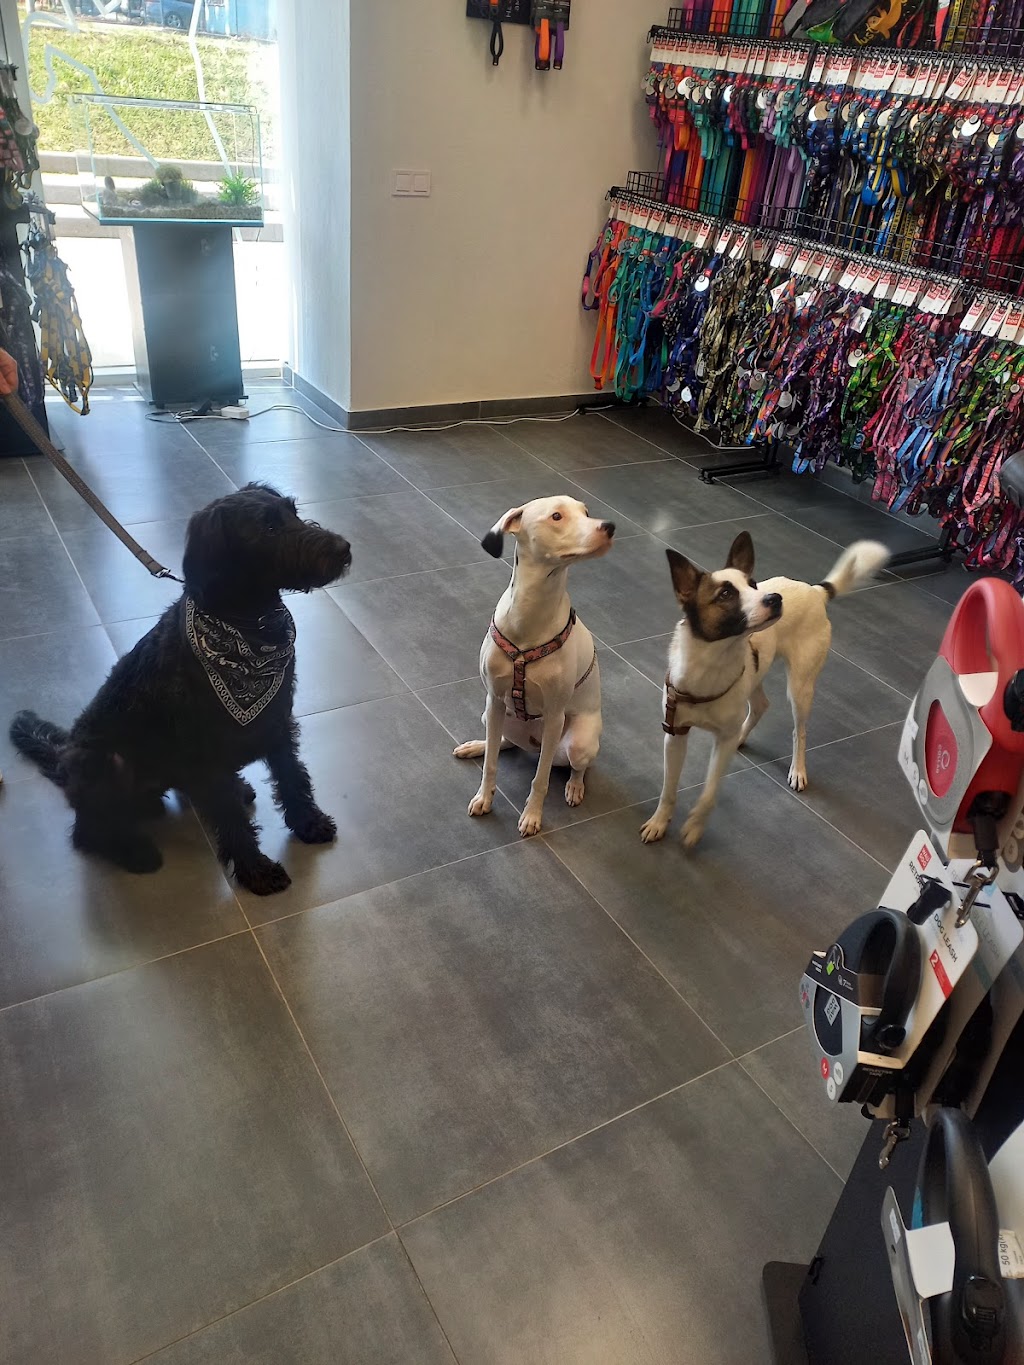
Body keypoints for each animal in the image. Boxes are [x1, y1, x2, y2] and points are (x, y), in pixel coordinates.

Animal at [10, 483, 352, 895]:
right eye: (269, 529)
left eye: (293, 513)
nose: (344, 548)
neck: (247, 627)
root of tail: (62, 758)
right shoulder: (205, 749)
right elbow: (233, 820)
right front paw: (256, 869)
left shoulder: (278, 721)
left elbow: (292, 777)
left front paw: (308, 823)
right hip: (108, 763)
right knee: (86, 832)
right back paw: (135, 851)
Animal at [454, 496, 615, 837]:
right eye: (556, 516)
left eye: (586, 512)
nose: (609, 527)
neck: (530, 614)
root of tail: (533, 744)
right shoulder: (495, 700)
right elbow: (491, 764)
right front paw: (484, 797)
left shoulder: (554, 716)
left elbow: (539, 780)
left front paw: (531, 815)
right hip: (490, 714)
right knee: (501, 743)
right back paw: (477, 745)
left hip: (577, 743)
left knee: (577, 767)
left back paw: (574, 787)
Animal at [639, 530, 890, 849]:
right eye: (725, 594)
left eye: (753, 584)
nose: (774, 598)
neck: (712, 662)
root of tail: (815, 591)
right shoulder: (675, 734)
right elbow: (668, 789)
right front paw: (659, 822)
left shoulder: (721, 741)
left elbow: (709, 792)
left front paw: (695, 824)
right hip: (755, 678)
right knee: (760, 706)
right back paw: (745, 736)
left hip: (800, 687)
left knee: (799, 731)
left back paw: (798, 770)